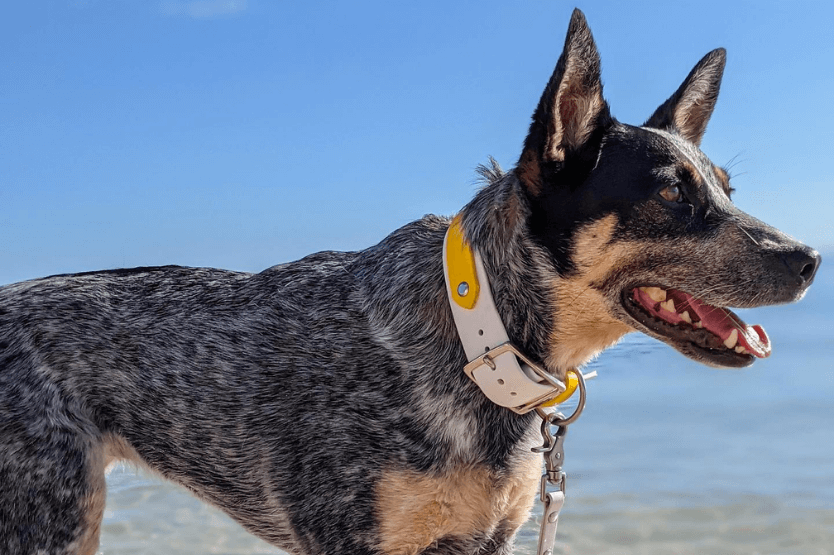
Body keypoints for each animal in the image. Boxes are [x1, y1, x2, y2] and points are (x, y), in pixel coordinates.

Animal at [0, 8, 820, 555]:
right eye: (672, 194)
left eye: (727, 190)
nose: (810, 258)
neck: (478, 336)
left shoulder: (485, 540)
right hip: (49, 517)